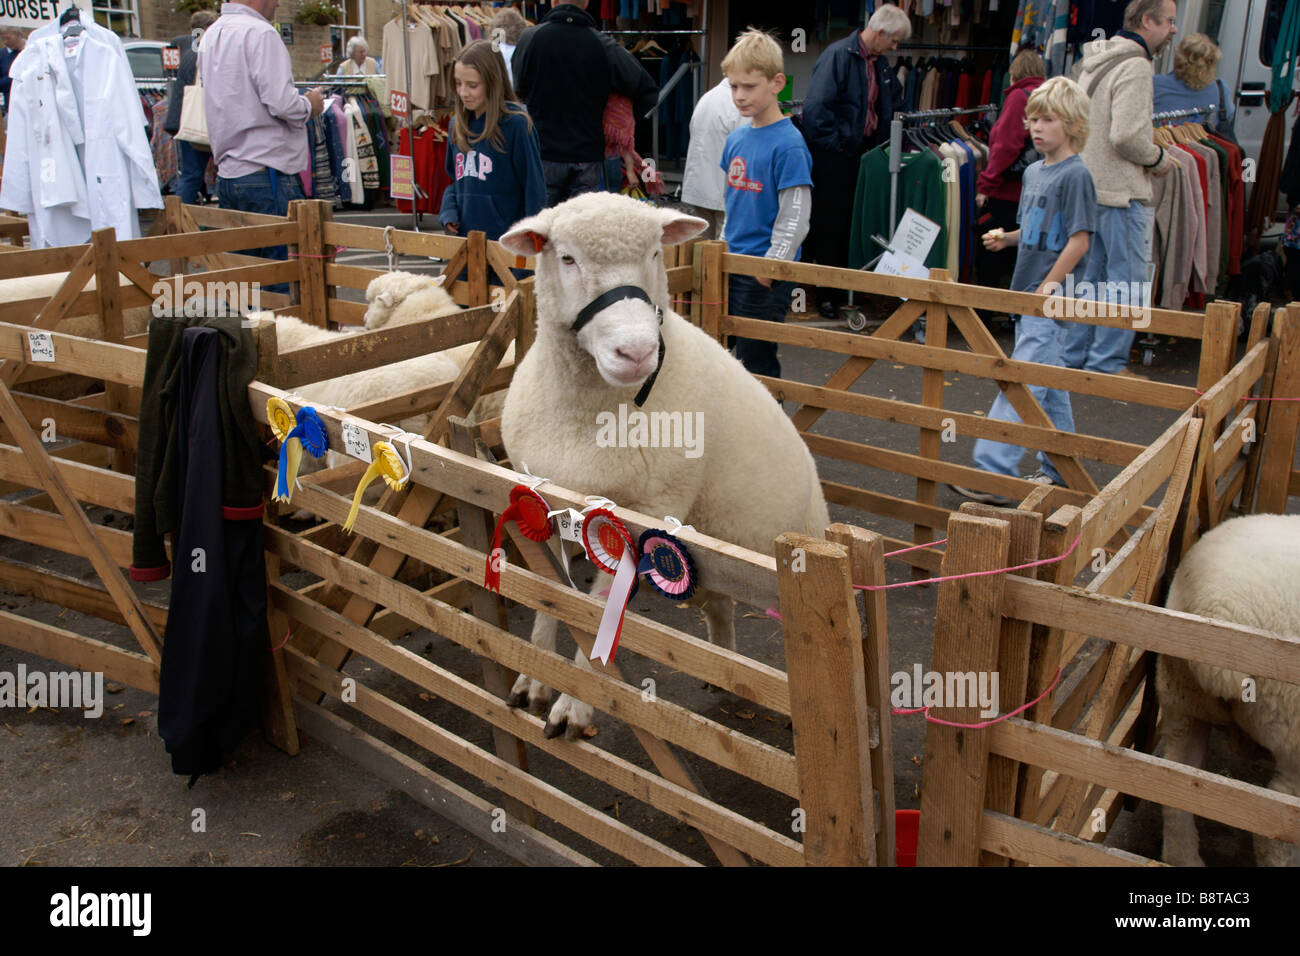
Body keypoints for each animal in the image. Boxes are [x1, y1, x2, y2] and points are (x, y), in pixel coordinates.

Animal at [496, 188, 832, 738]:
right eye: (566, 258)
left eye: (656, 253)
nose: (635, 352)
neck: (587, 417)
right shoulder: (543, 496)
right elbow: (552, 593)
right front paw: (535, 676)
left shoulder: (643, 515)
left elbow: (597, 609)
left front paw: (575, 703)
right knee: (720, 604)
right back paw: (722, 667)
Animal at [1159, 515, 1300, 868]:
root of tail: (1216, 608)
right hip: (1293, 728)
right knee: (1274, 833)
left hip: (1182, 699)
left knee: (1174, 785)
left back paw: (1183, 859)